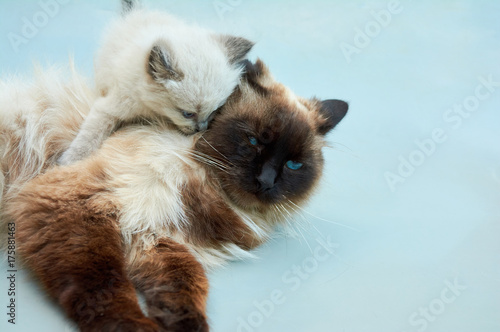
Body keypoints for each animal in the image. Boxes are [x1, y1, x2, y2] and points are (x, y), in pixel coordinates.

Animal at [1, 60, 350, 332]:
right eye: (253, 141)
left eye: (293, 165)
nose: (265, 181)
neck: (206, 188)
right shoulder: (79, 205)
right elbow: (106, 288)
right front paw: (136, 327)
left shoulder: (154, 236)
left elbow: (188, 285)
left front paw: (183, 325)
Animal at [57, 9, 254, 166]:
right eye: (187, 114)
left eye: (214, 111)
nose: (201, 128)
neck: (153, 109)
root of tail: (136, 11)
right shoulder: (110, 107)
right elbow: (89, 136)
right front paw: (70, 161)